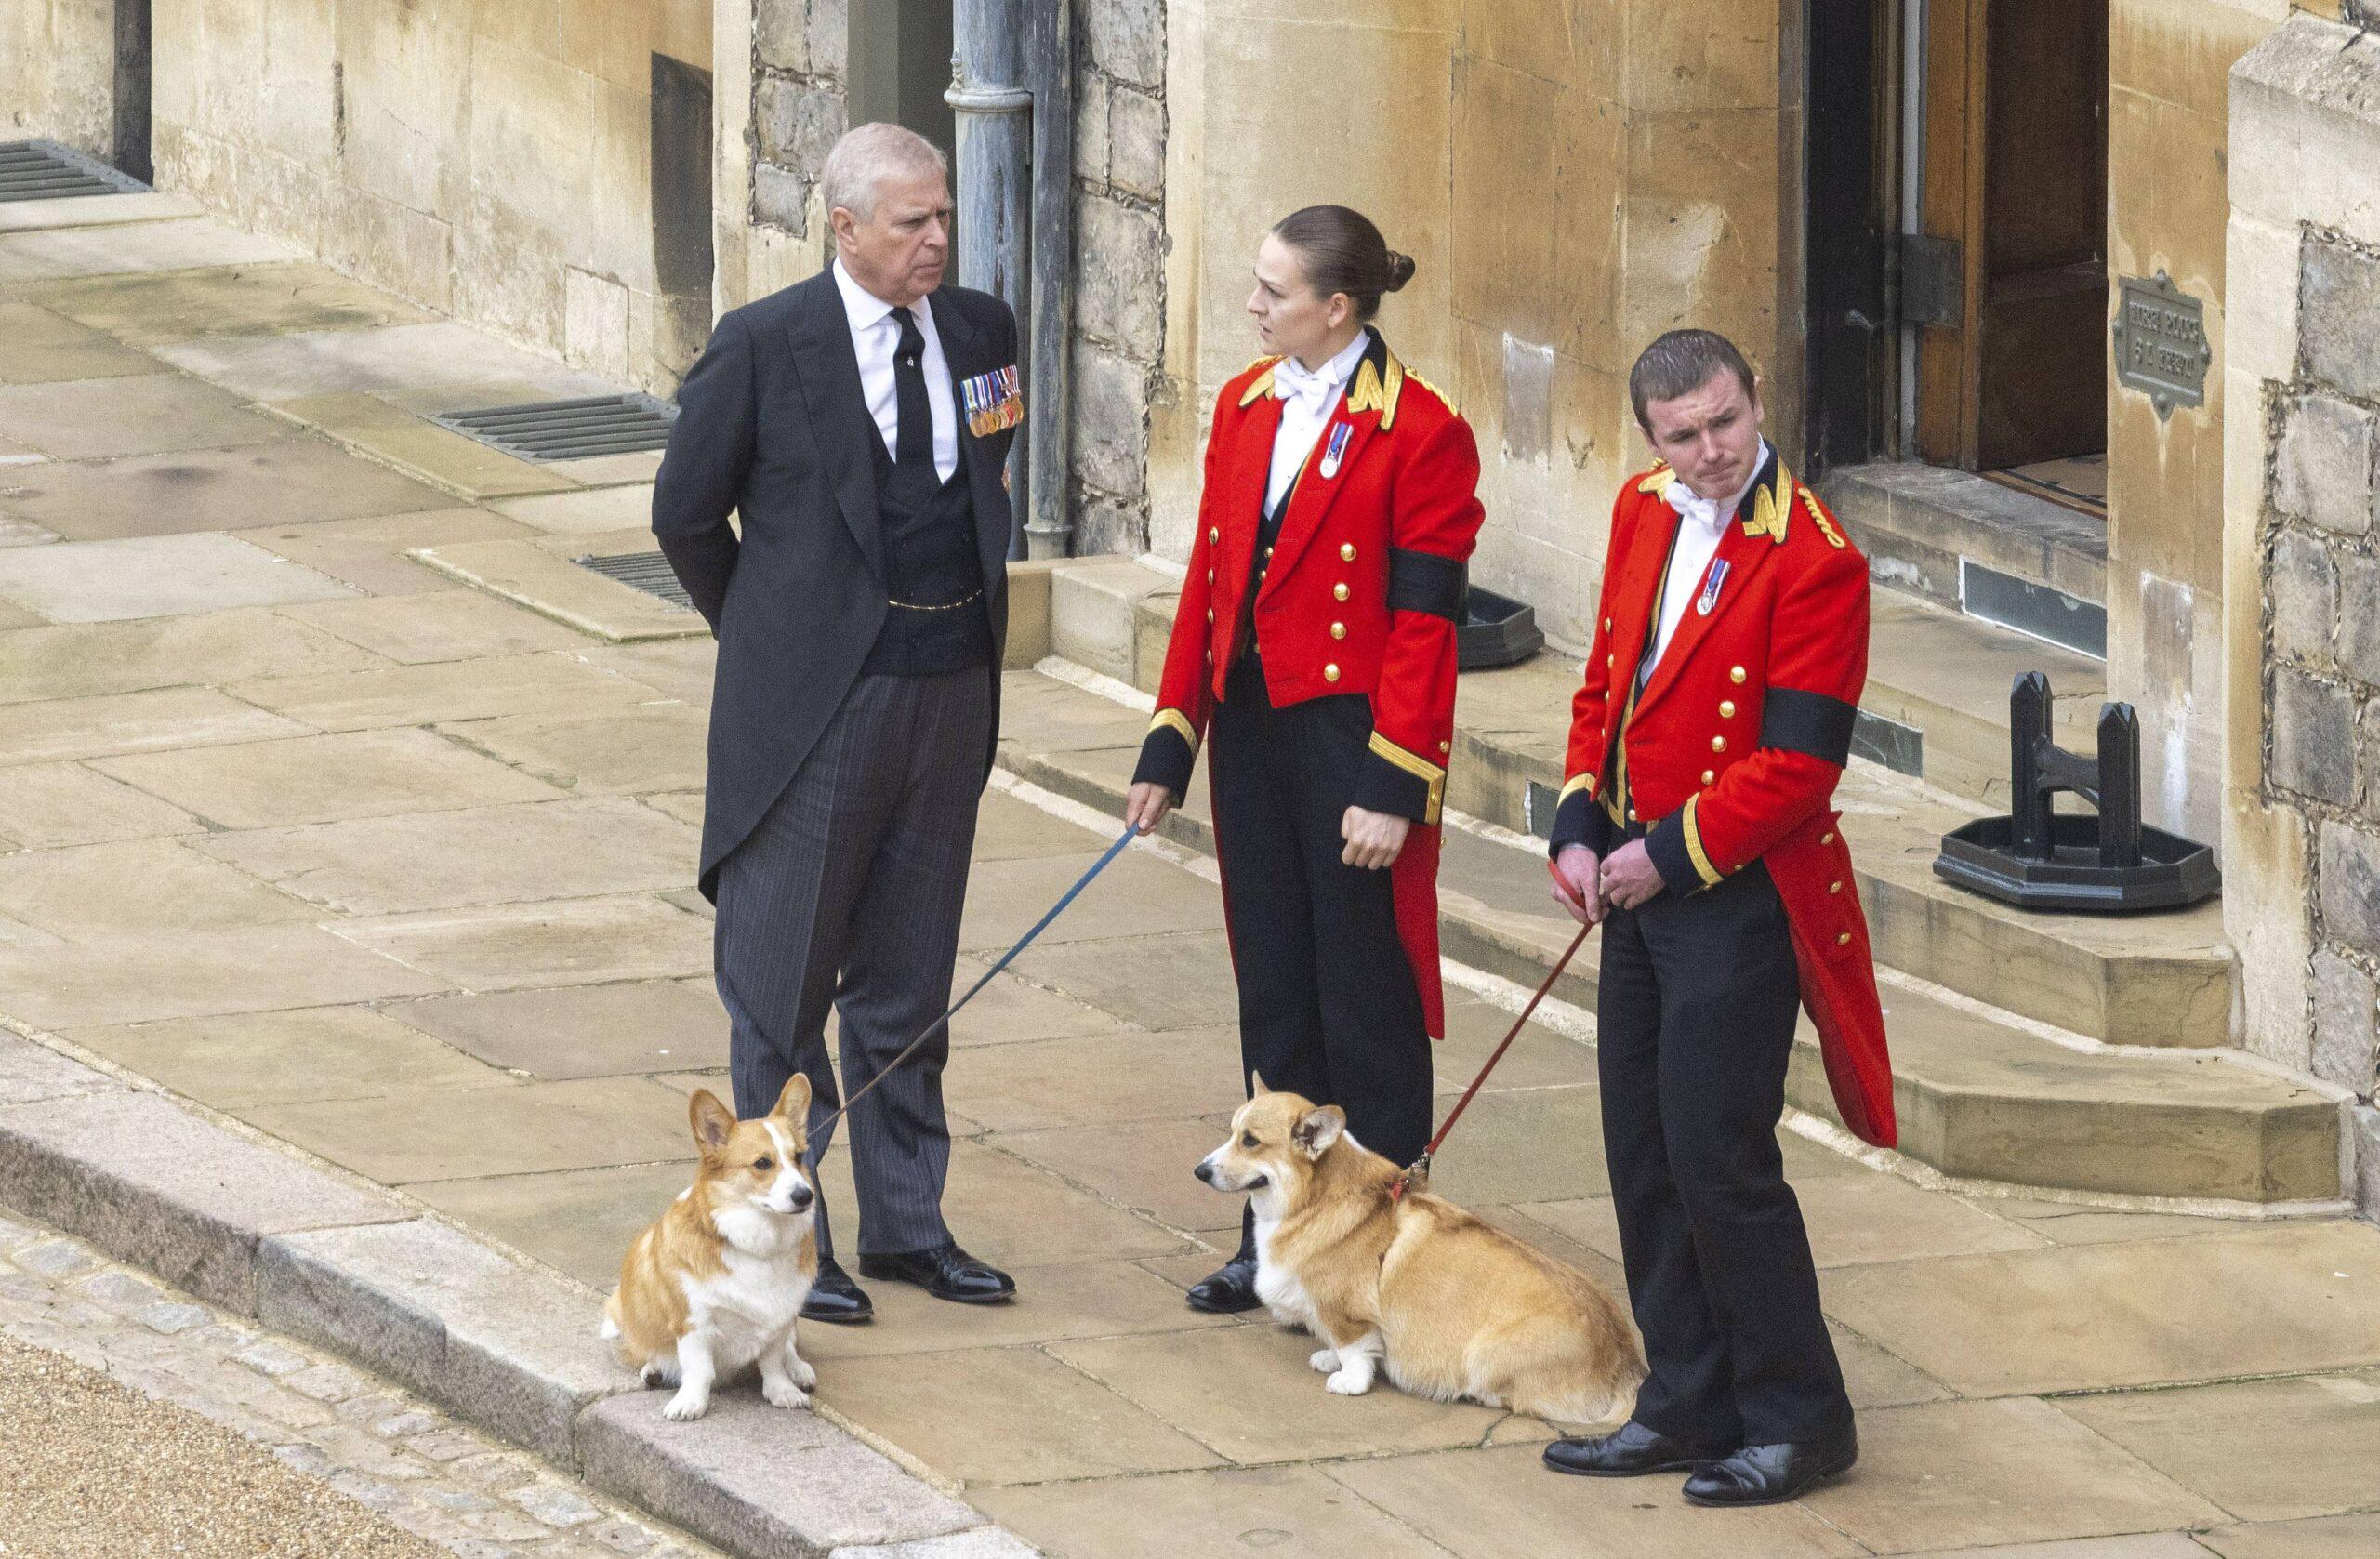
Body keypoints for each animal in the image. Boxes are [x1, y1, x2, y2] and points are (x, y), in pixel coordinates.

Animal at [609, 1080, 823, 1418]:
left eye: (799, 1157)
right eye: (763, 1163)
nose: (805, 1196)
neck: (758, 1245)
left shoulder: (779, 1319)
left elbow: (773, 1360)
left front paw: (783, 1390)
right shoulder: (694, 1321)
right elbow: (699, 1370)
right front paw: (690, 1403)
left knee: (790, 1346)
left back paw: (799, 1370)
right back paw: (653, 1370)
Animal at [1190, 1085, 1637, 1428]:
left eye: (1250, 1140)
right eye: (1232, 1132)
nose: (1199, 1171)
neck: (1315, 1200)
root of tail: (1626, 1364)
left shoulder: (1348, 1312)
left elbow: (1355, 1348)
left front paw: (1349, 1382)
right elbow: (1337, 1344)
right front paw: (1329, 1358)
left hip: (1488, 1355)